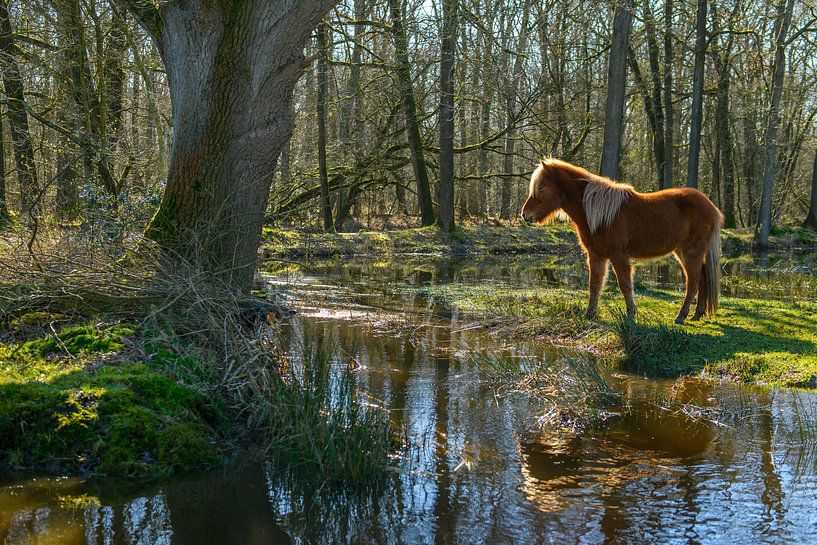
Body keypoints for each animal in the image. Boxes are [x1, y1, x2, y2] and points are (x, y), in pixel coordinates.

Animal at [520, 159, 724, 326]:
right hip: (683, 251)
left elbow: (624, 284)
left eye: (541, 187)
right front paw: (590, 314)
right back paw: (697, 314)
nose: (524, 215)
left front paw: (630, 314)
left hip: (691, 251)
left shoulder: (618, 255)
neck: (599, 214)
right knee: (703, 278)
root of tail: (711, 206)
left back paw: (681, 316)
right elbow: (594, 285)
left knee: (693, 281)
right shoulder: (596, 255)